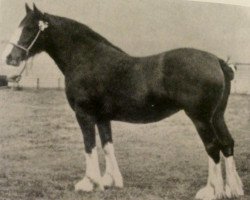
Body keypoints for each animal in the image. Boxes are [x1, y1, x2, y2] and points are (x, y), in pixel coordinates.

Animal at [2, 3, 244, 200]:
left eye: (29, 28)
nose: (9, 58)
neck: (87, 58)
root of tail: (217, 60)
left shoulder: (84, 114)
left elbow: (89, 146)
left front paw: (89, 183)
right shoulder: (102, 118)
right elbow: (107, 145)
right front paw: (110, 181)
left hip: (200, 118)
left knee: (212, 146)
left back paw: (212, 191)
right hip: (217, 116)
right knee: (227, 143)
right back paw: (233, 189)